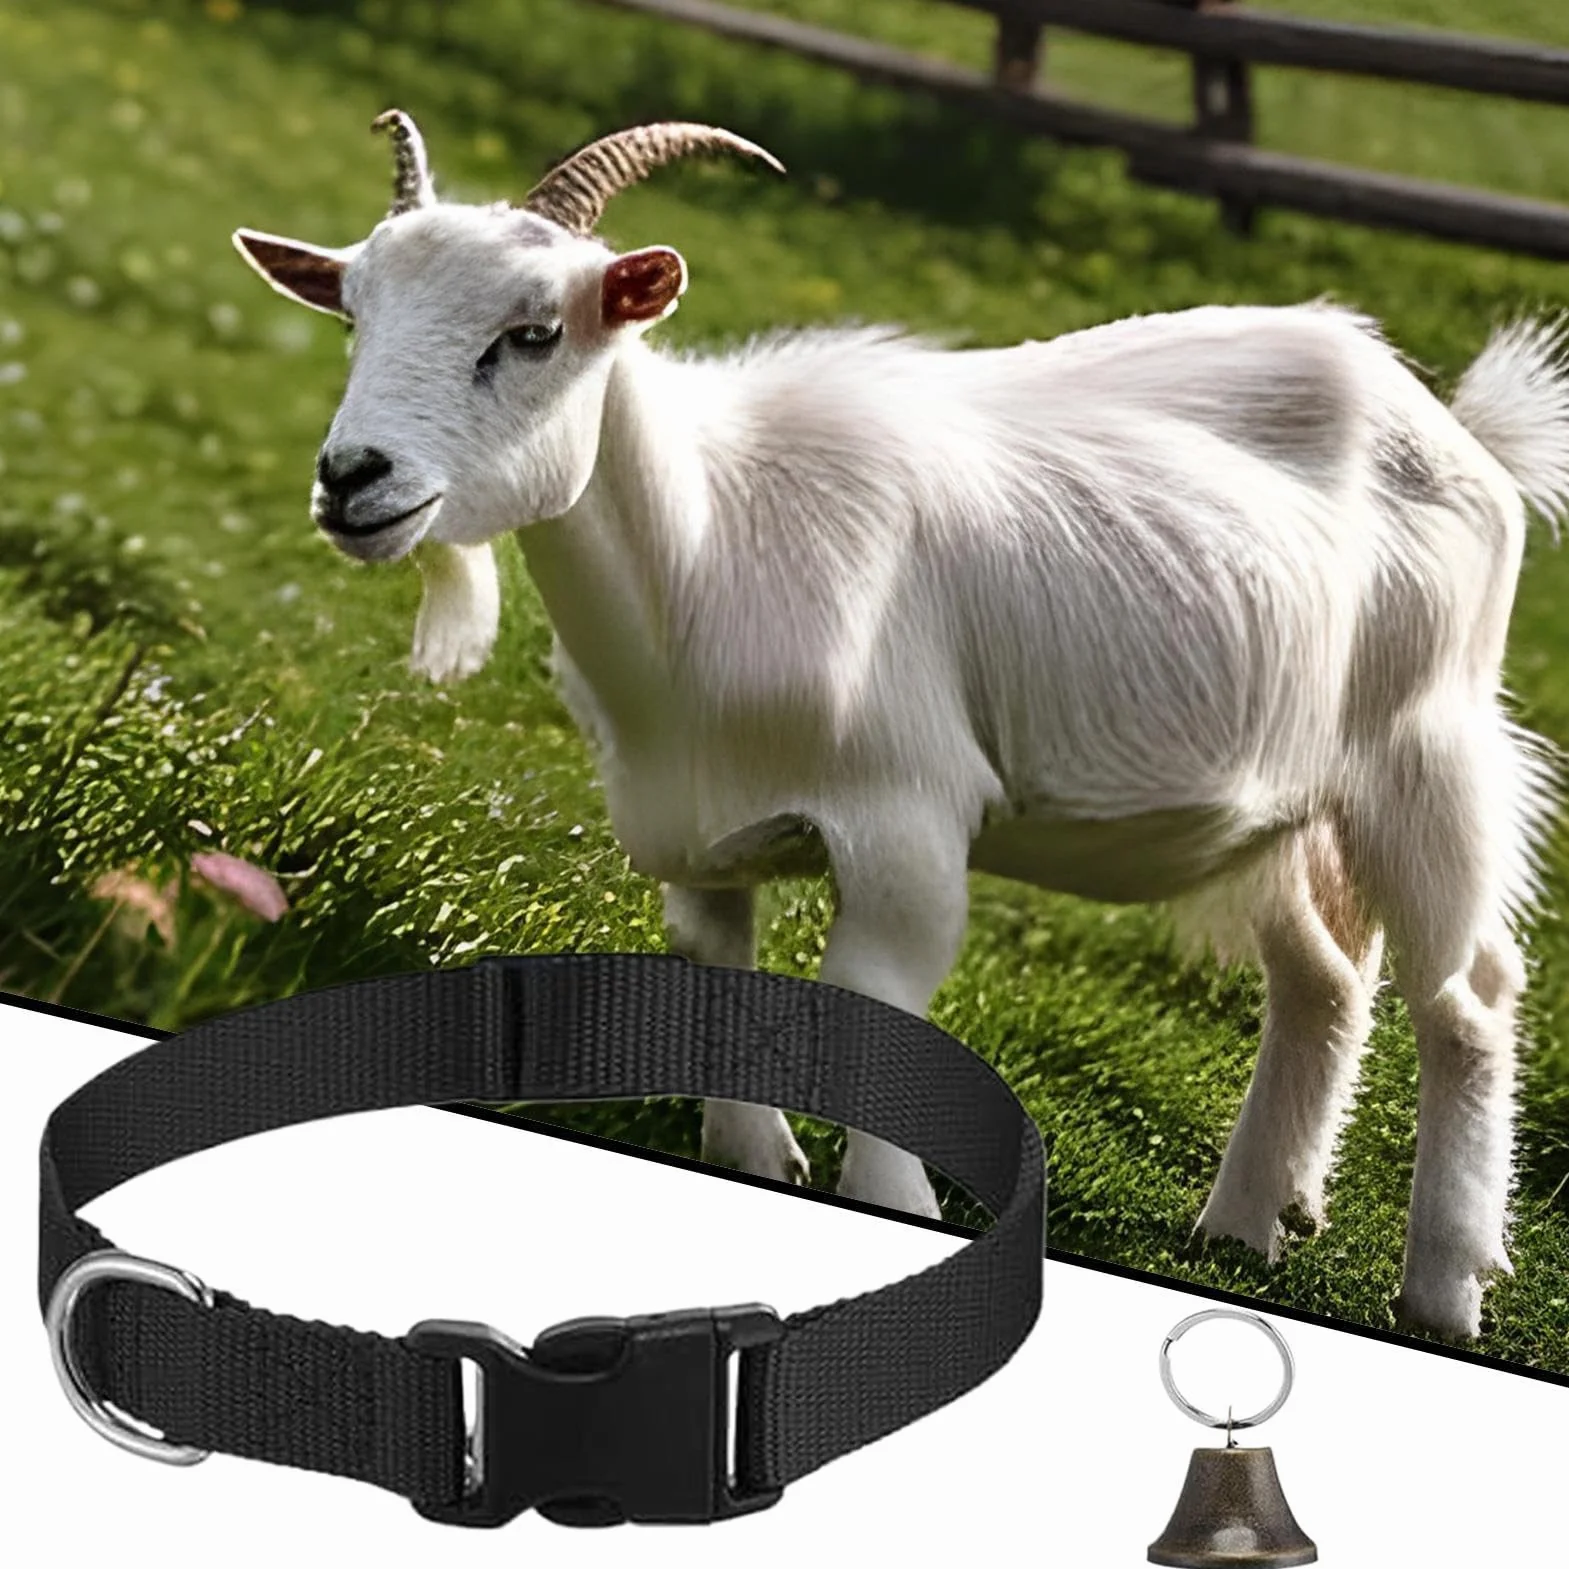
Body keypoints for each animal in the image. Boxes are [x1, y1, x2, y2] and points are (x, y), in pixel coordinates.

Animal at [234, 109, 1569, 1342]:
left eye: (533, 333)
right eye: (353, 317)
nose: (353, 477)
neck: (711, 539)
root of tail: (1454, 425)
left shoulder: (905, 813)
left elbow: (875, 992)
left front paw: (896, 1200)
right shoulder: (696, 829)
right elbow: (723, 979)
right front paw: (754, 1158)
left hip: (1429, 747)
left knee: (1469, 997)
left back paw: (1445, 1290)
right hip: (1289, 798)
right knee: (1323, 981)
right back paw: (1245, 1226)